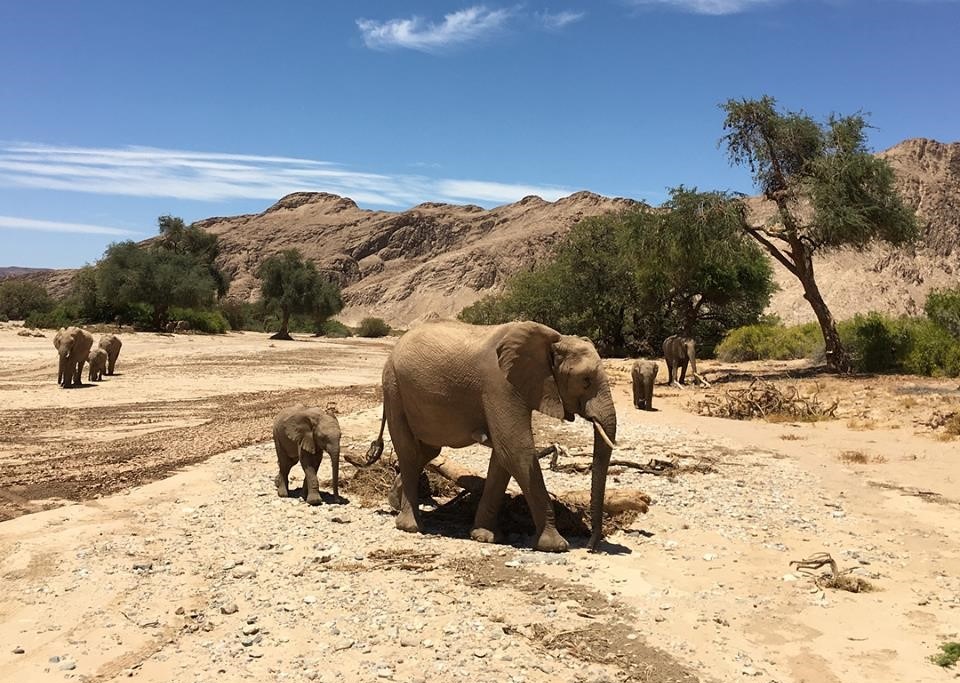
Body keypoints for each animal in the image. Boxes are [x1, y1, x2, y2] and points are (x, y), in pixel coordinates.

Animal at [366, 319, 618, 553]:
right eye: (585, 381)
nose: (591, 546)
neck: (554, 339)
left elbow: (503, 455)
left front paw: (485, 536)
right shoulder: (500, 385)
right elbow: (516, 450)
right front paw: (555, 545)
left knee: (427, 451)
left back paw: (394, 503)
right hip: (393, 387)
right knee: (409, 451)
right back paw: (411, 526)